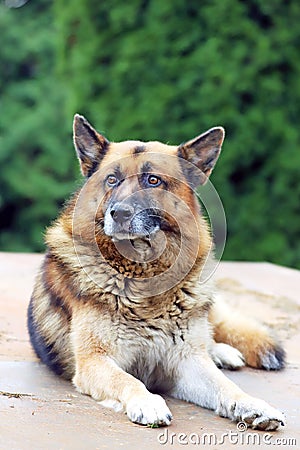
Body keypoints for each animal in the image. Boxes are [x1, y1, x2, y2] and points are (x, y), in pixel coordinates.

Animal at [28, 114, 286, 430]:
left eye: (153, 180)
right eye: (112, 180)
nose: (119, 213)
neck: (142, 277)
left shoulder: (185, 363)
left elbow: (225, 386)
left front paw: (251, 403)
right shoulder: (94, 362)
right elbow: (128, 380)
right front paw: (148, 402)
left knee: (211, 336)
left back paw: (221, 352)